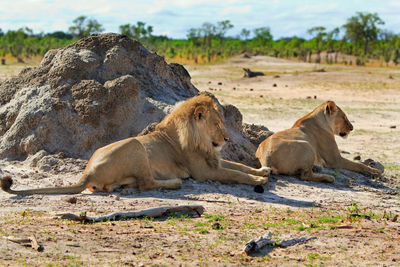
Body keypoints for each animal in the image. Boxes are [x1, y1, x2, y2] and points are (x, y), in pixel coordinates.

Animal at [2, 95, 268, 196]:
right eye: (217, 124)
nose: (227, 139)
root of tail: (87, 173)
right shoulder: (203, 170)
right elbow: (234, 174)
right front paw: (259, 180)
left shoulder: (214, 159)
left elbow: (238, 166)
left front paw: (263, 170)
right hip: (136, 146)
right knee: (148, 183)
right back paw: (175, 182)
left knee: (138, 183)